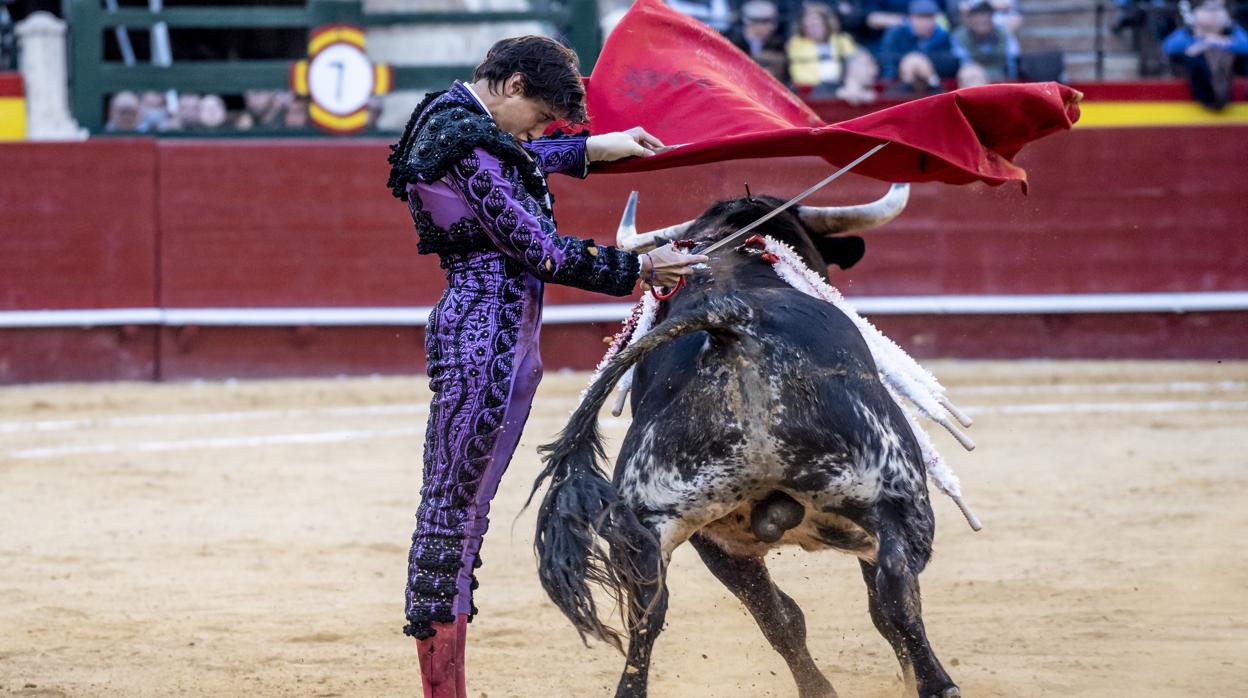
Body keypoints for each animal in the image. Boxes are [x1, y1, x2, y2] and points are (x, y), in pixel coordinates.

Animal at [531, 186, 968, 698]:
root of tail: (731, 321)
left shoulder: (716, 540)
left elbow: (779, 617)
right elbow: (880, 609)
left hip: (664, 524)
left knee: (649, 613)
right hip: (894, 494)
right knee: (896, 589)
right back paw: (937, 685)